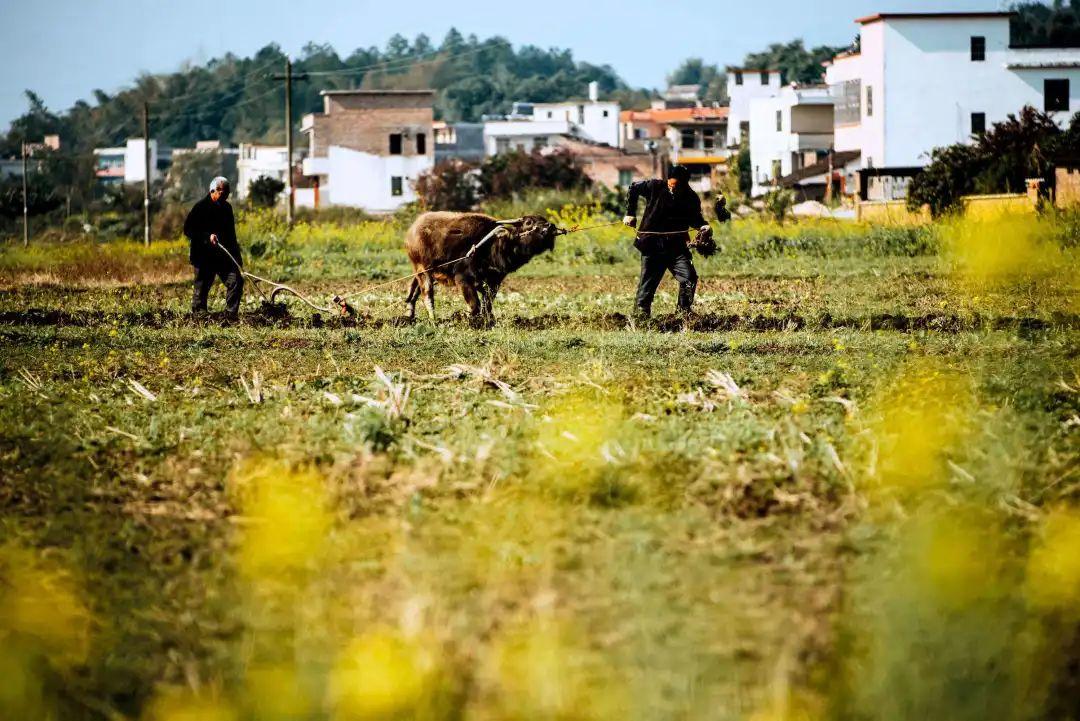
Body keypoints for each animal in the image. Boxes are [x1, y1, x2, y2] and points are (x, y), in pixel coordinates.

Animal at [403, 211, 561, 325]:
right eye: (529, 222)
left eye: (544, 220)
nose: (550, 226)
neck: (492, 246)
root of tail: (412, 231)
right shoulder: (463, 279)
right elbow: (475, 305)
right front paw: (471, 321)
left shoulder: (493, 282)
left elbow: (487, 304)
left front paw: (489, 320)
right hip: (422, 270)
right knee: (427, 294)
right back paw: (432, 319)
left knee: (414, 290)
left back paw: (409, 315)